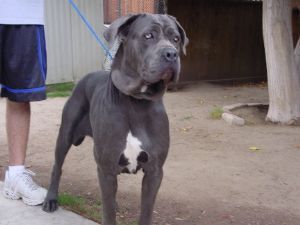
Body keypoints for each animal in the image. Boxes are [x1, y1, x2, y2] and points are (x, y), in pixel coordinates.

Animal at [42, 13, 188, 225]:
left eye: (176, 39)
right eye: (148, 35)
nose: (171, 54)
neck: (136, 102)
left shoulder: (154, 171)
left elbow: (145, 211)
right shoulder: (107, 168)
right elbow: (108, 214)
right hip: (65, 134)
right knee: (57, 166)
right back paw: (51, 199)